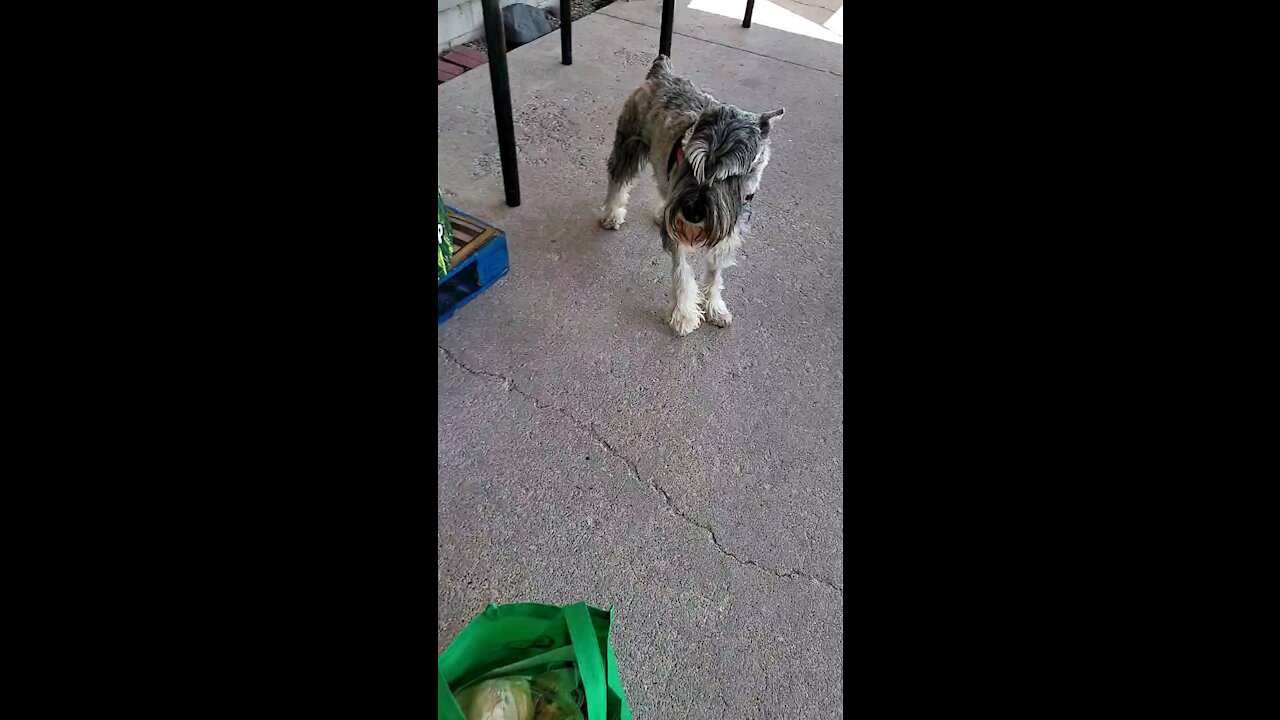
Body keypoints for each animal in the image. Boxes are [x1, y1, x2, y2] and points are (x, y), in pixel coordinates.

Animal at [596, 54, 778, 335]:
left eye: (730, 176)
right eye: (692, 163)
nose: (691, 213)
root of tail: (662, 72)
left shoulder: (728, 230)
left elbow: (715, 273)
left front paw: (715, 307)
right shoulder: (678, 234)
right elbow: (682, 272)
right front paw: (683, 315)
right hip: (629, 144)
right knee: (618, 179)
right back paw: (613, 214)